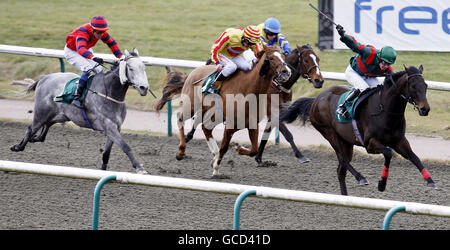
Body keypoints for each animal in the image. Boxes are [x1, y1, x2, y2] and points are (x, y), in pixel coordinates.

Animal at [10, 48, 150, 174]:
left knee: (44, 131)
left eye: (144, 68)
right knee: (30, 129)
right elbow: (125, 146)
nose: (144, 88)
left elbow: (106, 153)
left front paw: (103, 170)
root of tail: (44, 78)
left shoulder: (116, 127)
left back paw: (33, 139)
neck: (109, 93)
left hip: (60, 115)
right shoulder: (109, 126)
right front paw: (140, 168)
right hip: (41, 113)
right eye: (131, 68)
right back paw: (18, 146)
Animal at [156, 44, 292, 176]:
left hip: (214, 114)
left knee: (206, 128)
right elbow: (224, 147)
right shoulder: (230, 125)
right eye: (271, 58)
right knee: (180, 118)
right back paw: (181, 151)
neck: (248, 90)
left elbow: (254, 150)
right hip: (192, 105)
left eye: (283, 57)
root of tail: (192, 73)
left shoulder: (252, 125)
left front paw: (238, 148)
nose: (286, 72)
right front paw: (216, 169)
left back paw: (213, 154)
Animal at [282, 65, 436, 194]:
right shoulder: (370, 143)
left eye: (425, 85)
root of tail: (315, 100)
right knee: (343, 160)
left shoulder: (399, 141)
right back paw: (361, 178)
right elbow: (388, 153)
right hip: (330, 133)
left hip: (346, 142)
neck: (385, 110)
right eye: (413, 86)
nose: (425, 109)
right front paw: (382, 184)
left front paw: (430, 181)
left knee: (341, 170)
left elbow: (414, 157)